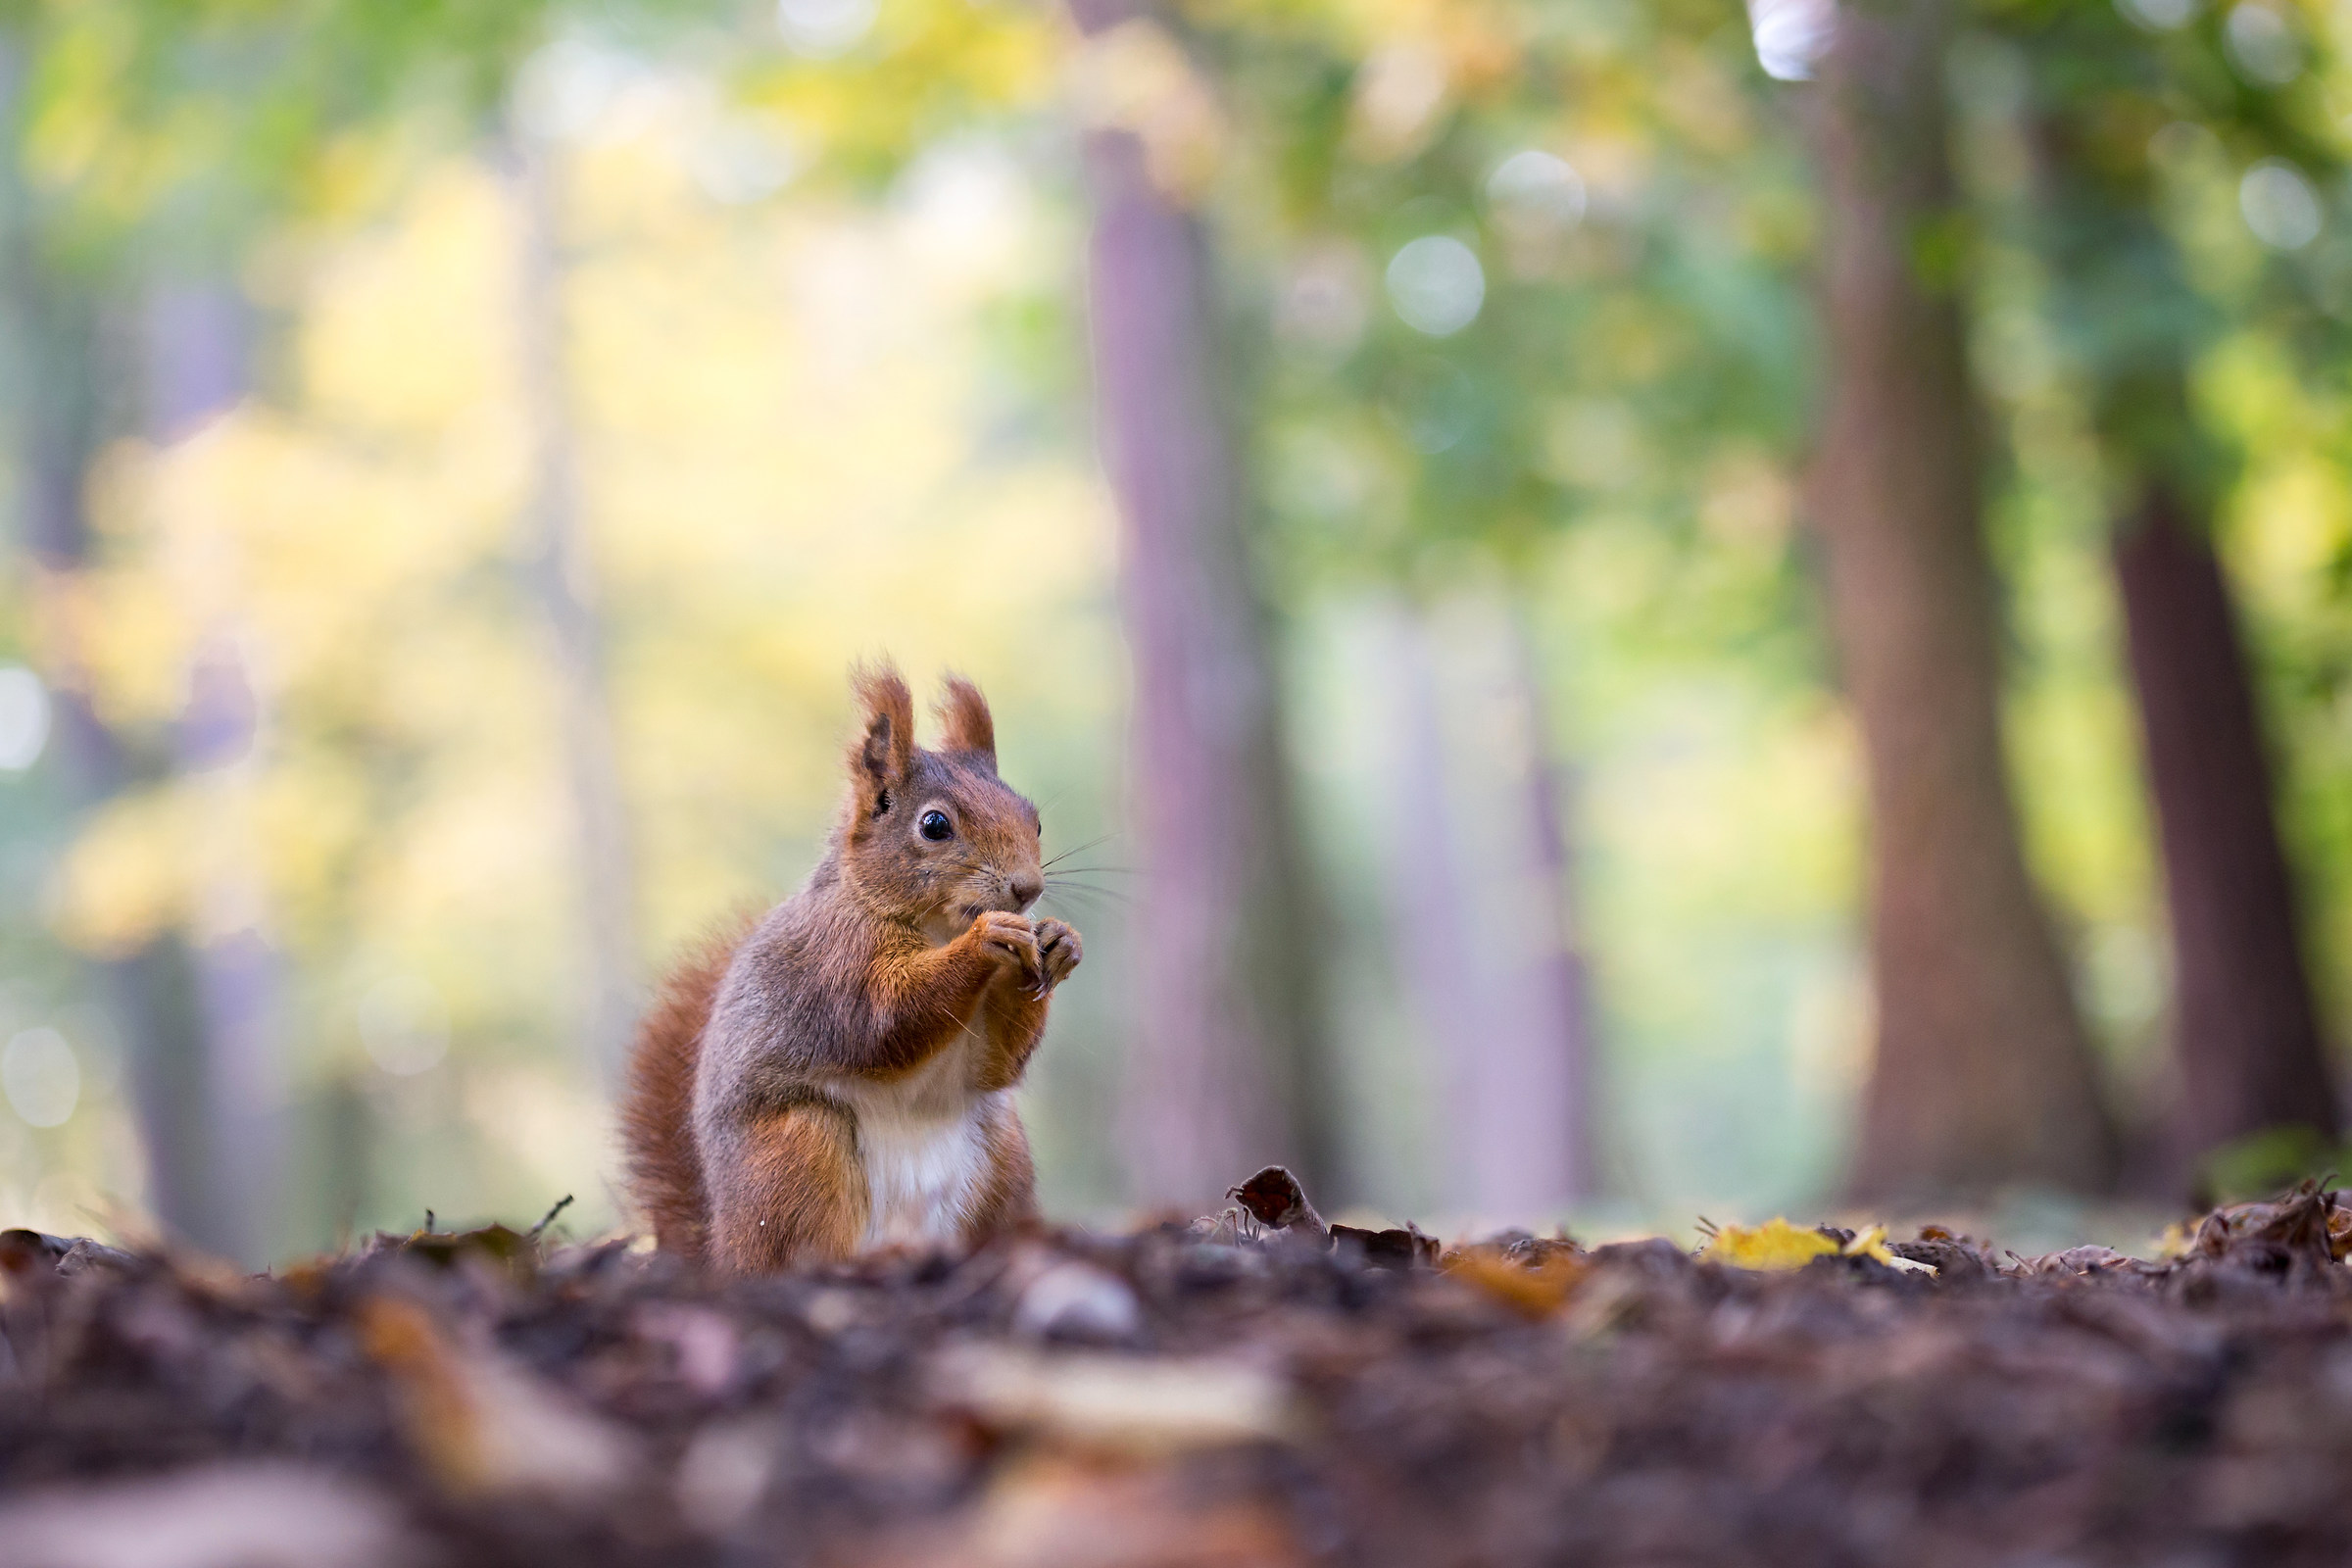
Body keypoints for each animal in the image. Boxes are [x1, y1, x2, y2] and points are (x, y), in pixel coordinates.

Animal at [619, 663, 1080, 1274]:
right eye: (935, 825)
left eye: (1035, 821)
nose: (1028, 889)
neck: (937, 927)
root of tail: (722, 1248)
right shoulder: (837, 958)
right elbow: (886, 1018)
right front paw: (986, 939)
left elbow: (994, 1066)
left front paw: (1061, 942)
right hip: (797, 1153)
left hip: (1002, 1160)